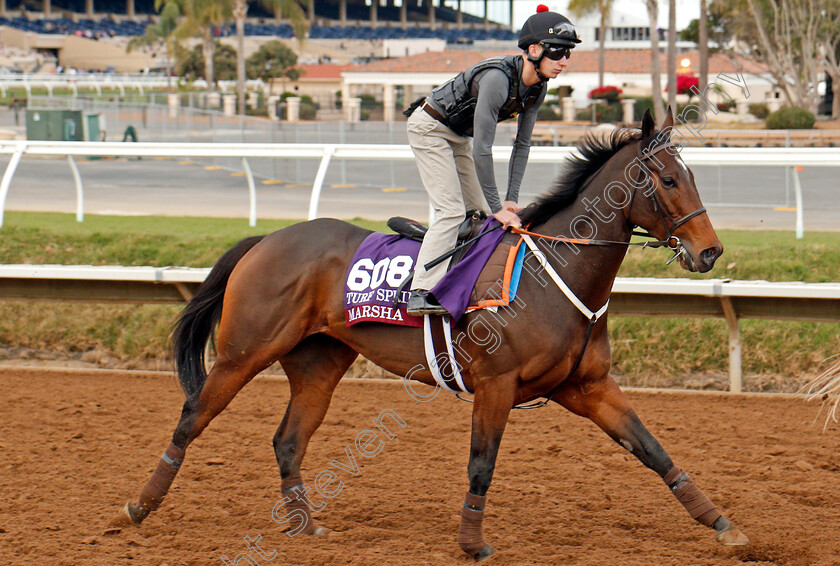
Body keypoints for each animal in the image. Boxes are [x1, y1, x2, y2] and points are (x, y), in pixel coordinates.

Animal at [113, 110, 748, 560]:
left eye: (692, 176)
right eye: (669, 179)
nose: (710, 252)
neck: (554, 276)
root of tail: (266, 239)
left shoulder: (587, 387)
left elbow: (654, 449)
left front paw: (723, 525)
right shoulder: (496, 384)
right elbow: (481, 464)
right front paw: (473, 543)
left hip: (318, 363)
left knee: (288, 441)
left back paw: (305, 525)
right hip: (244, 351)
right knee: (191, 419)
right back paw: (138, 509)